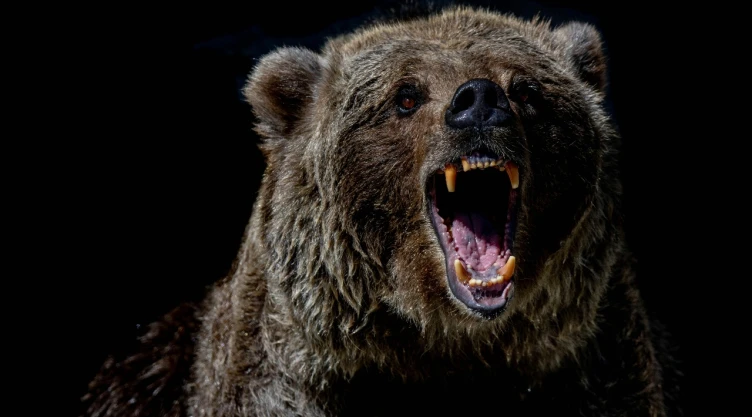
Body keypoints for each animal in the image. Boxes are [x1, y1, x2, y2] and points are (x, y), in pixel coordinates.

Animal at [83, 6, 680, 417]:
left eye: (528, 90)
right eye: (406, 96)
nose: (479, 100)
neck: (444, 344)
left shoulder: (588, 369)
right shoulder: (286, 381)